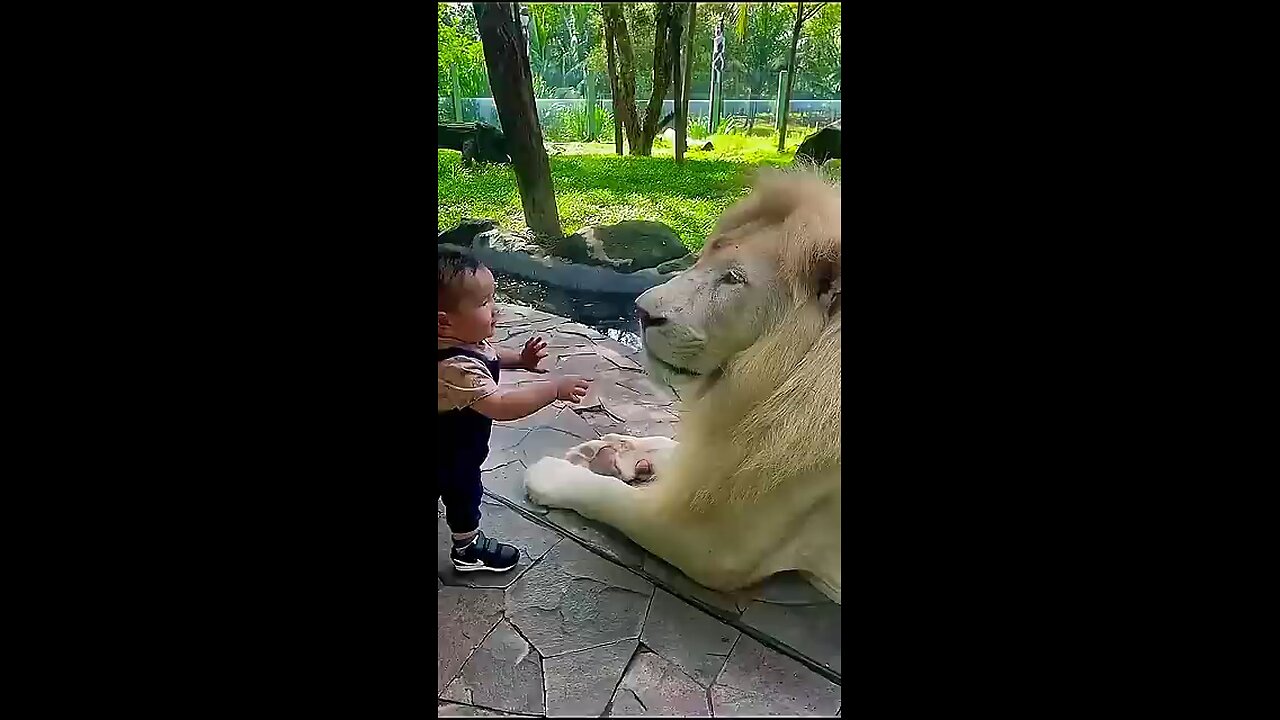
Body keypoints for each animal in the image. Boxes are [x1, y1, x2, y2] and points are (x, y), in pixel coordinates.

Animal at [527, 166, 839, 599]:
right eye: (705, 256)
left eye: (732, 279)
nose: (640, 312)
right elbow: (674, 449)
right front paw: (617, 451)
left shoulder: (709, 545)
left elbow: (609, 497)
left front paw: (550, 474)